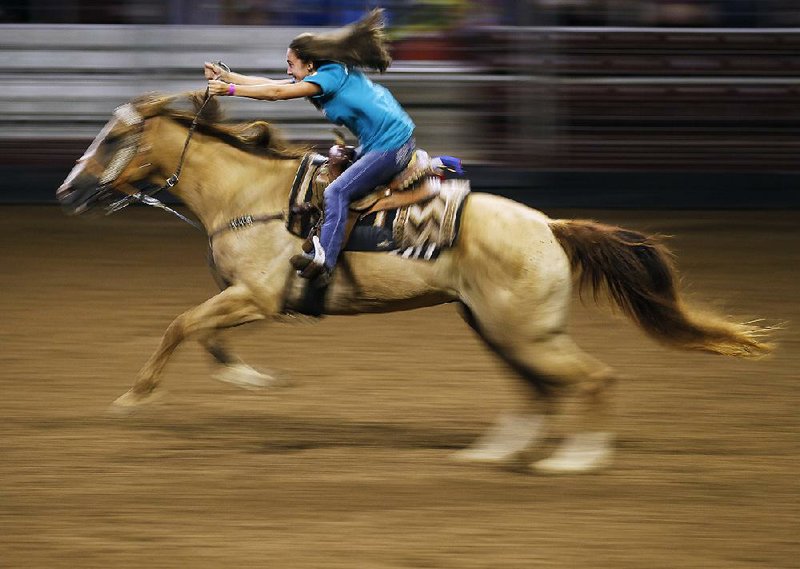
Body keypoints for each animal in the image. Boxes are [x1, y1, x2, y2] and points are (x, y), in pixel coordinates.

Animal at [54, 93, 768, 472]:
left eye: (114, 138)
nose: (65, 192)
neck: (249, 196)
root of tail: (549, 224)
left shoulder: (255, 297)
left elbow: (180, 325)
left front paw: (134, 400)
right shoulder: (243, 299)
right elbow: (202, 334)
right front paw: (250, 379)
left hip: (526, 332)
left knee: (592, 379)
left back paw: (574, 460)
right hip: (497, 328)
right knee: (537, 390)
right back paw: (491, 453)